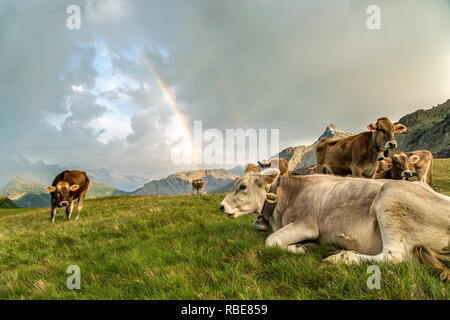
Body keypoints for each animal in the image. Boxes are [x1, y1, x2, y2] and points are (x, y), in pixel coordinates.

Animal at [219, 169, 450, 282]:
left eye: (242, 186)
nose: (221, 206)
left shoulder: (307, 224)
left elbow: (270, 241)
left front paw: (302, 248)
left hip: (391, 197)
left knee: (395, 256)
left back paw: (341, 257)